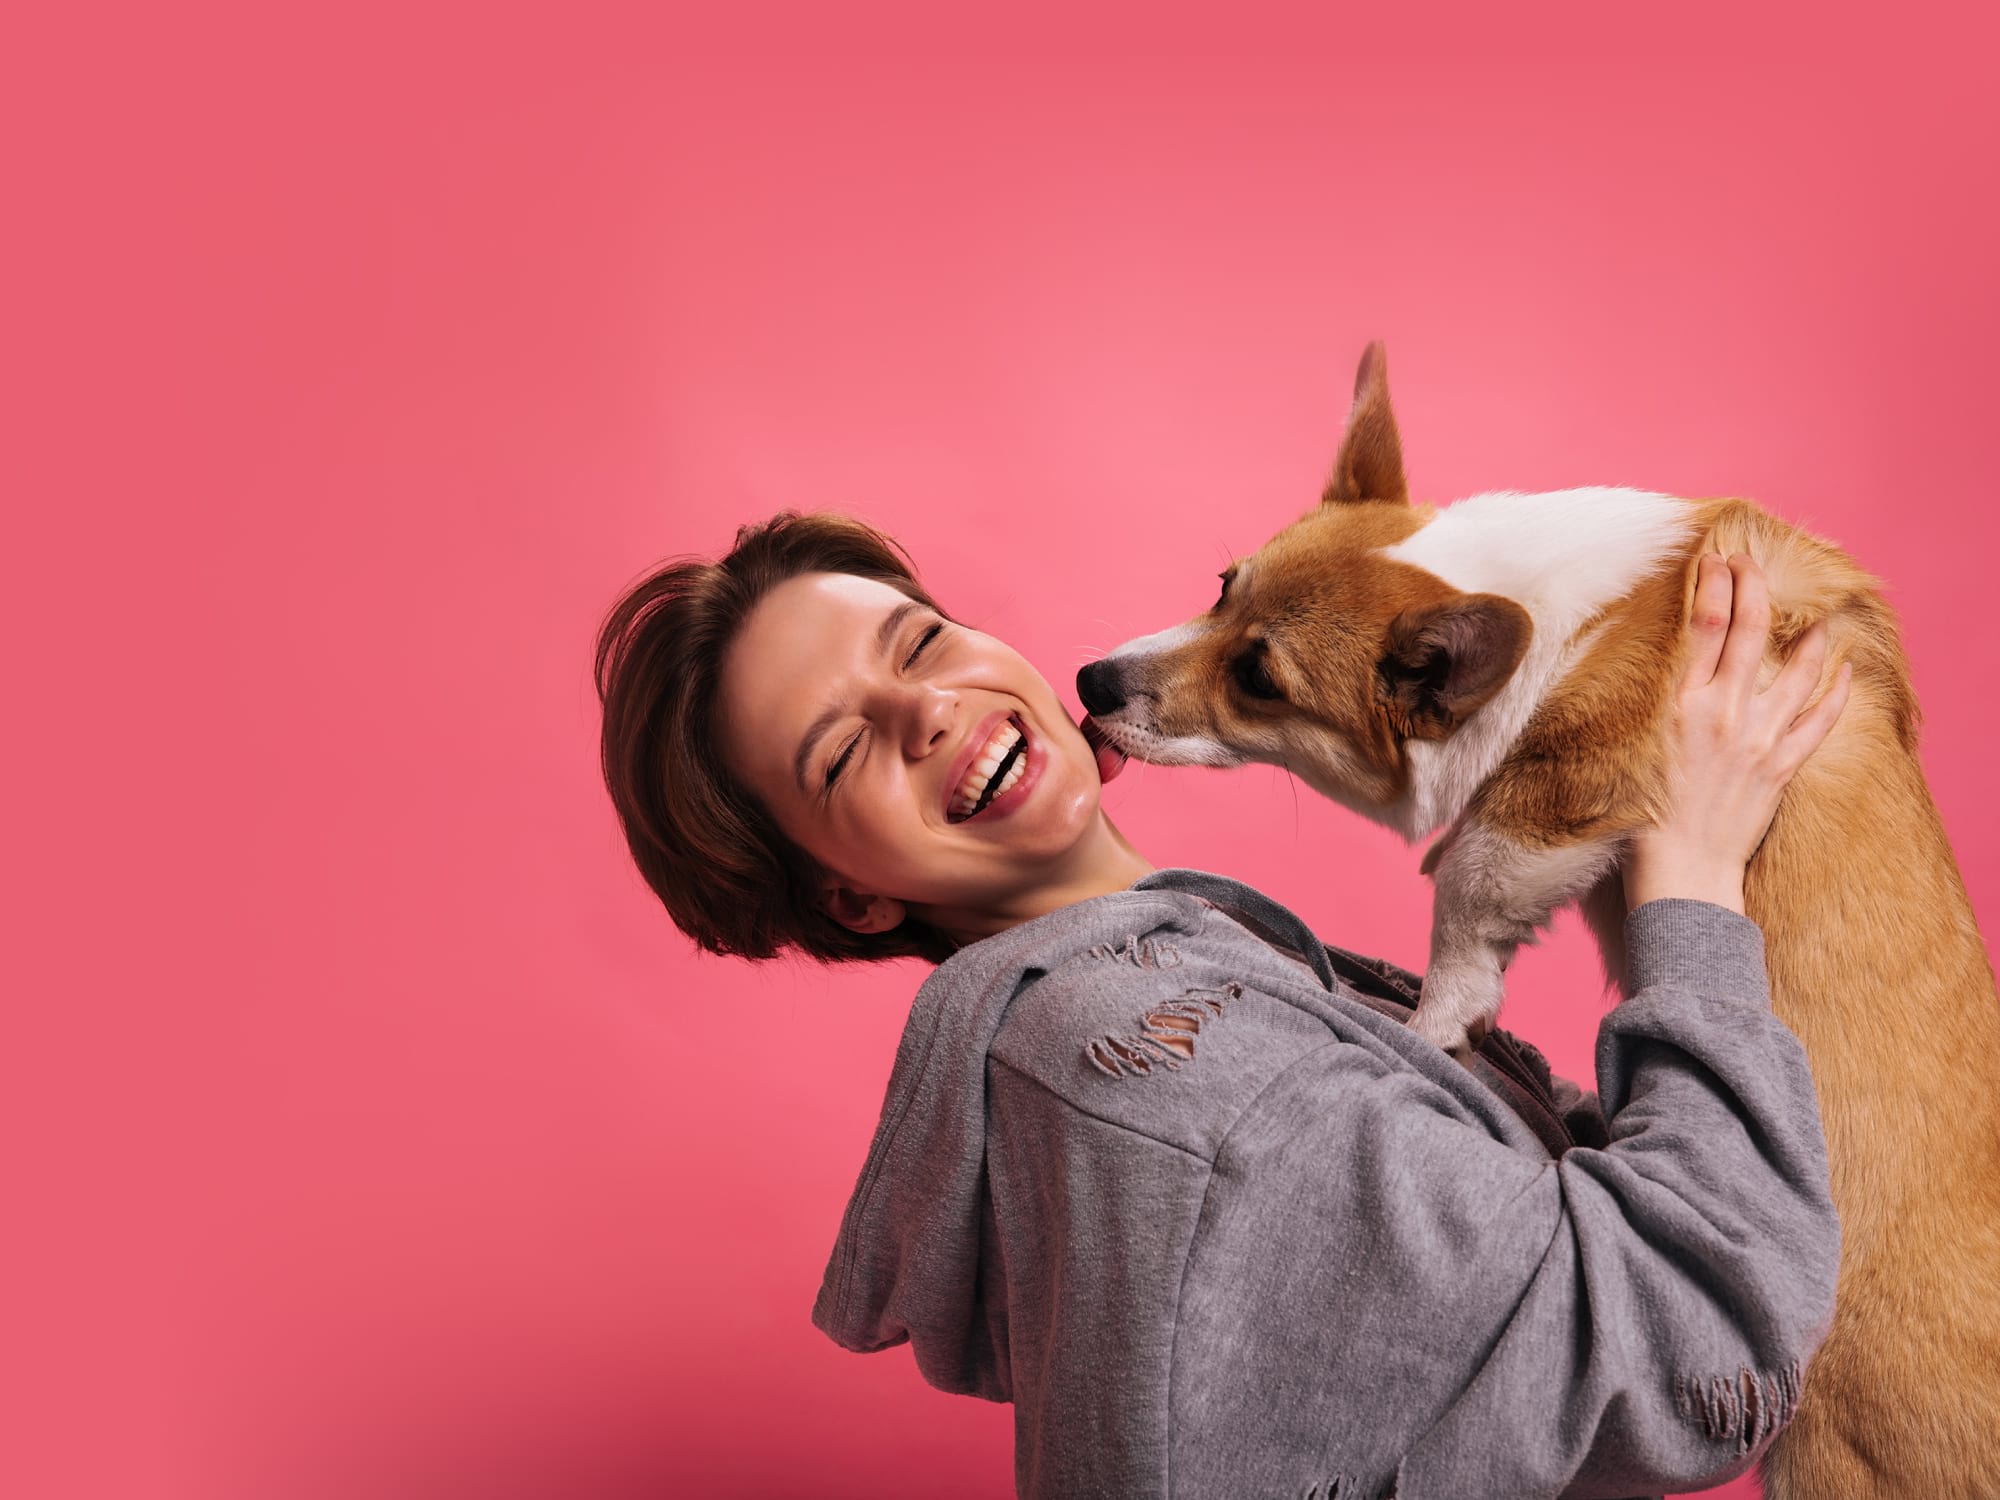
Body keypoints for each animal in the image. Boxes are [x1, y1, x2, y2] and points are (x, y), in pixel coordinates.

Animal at [1076, 343, 2000, 1499]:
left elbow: (1469, 878)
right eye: (1219, 588)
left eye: (1259, 678)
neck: (1545, 613)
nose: (1089, 682)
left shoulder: (1571, 787)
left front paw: (1437, 1017)